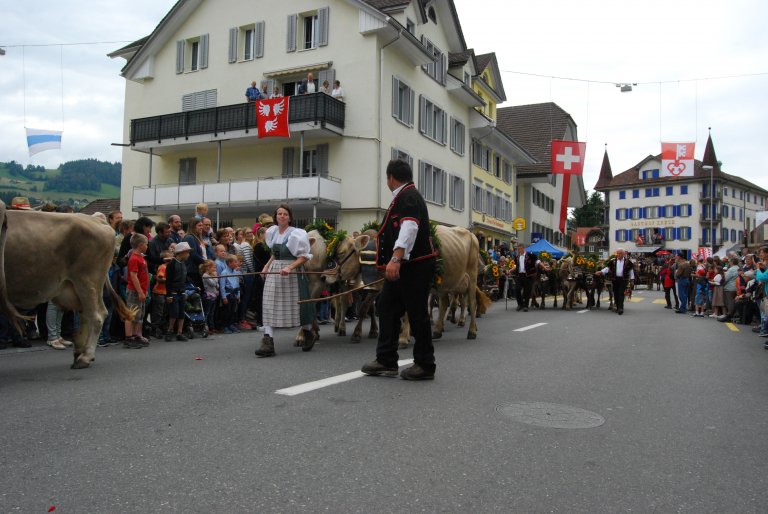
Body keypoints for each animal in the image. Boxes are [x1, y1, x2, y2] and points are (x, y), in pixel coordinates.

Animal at [4, 210, 134, 366]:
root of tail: (98, 220)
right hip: (81, 286)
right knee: (89, 314)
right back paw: (80, 352)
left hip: (86, 282)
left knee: (96, 316)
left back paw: (85, 356)